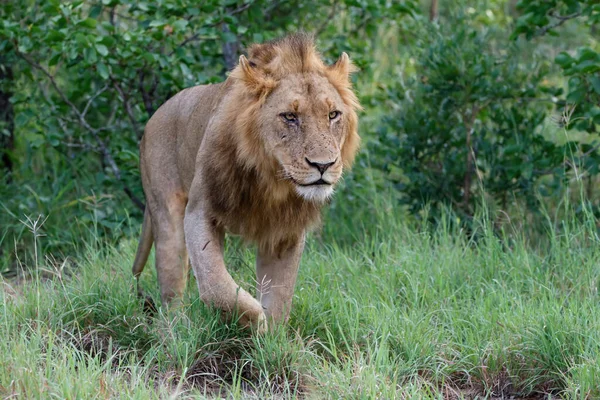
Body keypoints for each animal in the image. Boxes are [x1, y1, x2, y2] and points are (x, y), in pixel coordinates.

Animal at [132, 33, 360, 332]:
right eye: (290, 116)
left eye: (333, 115)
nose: (323, 165)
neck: (272, 180)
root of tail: (153, 117)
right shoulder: (199, 212)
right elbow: (217, 286)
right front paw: (255, 319)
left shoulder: (286, 231)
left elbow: (280, 294)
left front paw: (272, 338)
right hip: (167, 213)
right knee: (171, 287)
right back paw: (176, 329)